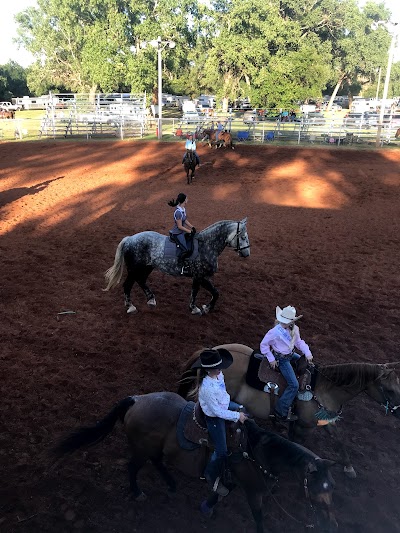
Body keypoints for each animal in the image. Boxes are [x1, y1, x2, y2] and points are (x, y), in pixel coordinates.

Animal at [54, 388, 338, 528]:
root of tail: (136, 400)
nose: (330, 521)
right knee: (134, 468)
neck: (257, 452)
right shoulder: (253, 492)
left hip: (155, 449)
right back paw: (138, 492)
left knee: (158, 462)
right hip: (142, 449)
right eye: (317, 487)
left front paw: (207, 507)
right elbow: (258, 518)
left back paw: (171, 485)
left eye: (331, 486)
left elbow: (221, 493)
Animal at [103, 218, 248, 314]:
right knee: (128, 285)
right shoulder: (199, 276)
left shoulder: (202, 276)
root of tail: (130, 239)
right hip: (134, 269)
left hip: (147, 267)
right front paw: (198, 308)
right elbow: (201, 292)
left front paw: (203, 307)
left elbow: (211, 292)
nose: (247, 253)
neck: (206, 245)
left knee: (141, 280)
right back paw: (130, 306)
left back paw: (151, 299)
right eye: (242, 237)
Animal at [180, 344, 400, 478]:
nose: (398, 412)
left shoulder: (325, 419)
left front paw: (348, 467)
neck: (323, 389)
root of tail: (215, 349)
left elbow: (338, 438)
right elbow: (297, 444)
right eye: (390, 390)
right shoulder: (304, 426)